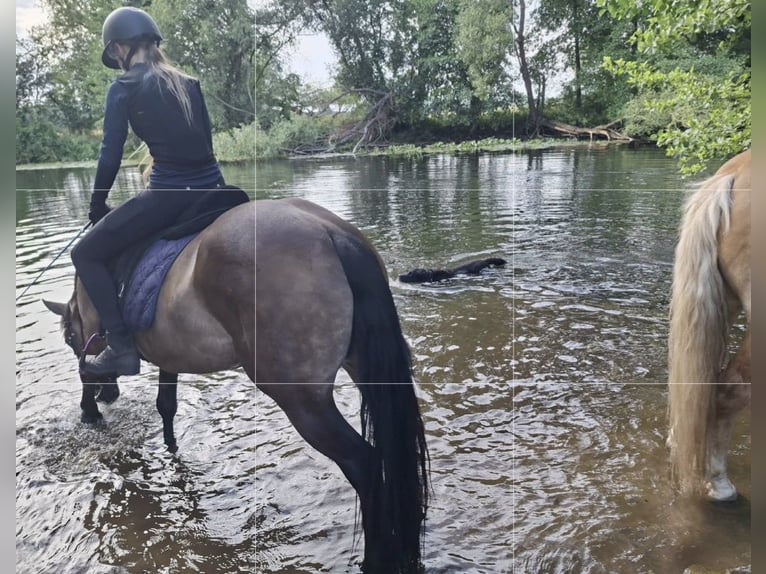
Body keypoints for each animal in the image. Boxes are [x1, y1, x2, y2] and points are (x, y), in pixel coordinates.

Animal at [45, 197, 430, 573]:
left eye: (69, 339)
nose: (108, 394)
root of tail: (335, 236)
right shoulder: (170, 354)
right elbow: (166, 405)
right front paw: (170, 448)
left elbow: (85, 372)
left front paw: (89, 412)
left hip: (303, 401)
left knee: (364, 463)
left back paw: (376, 560)